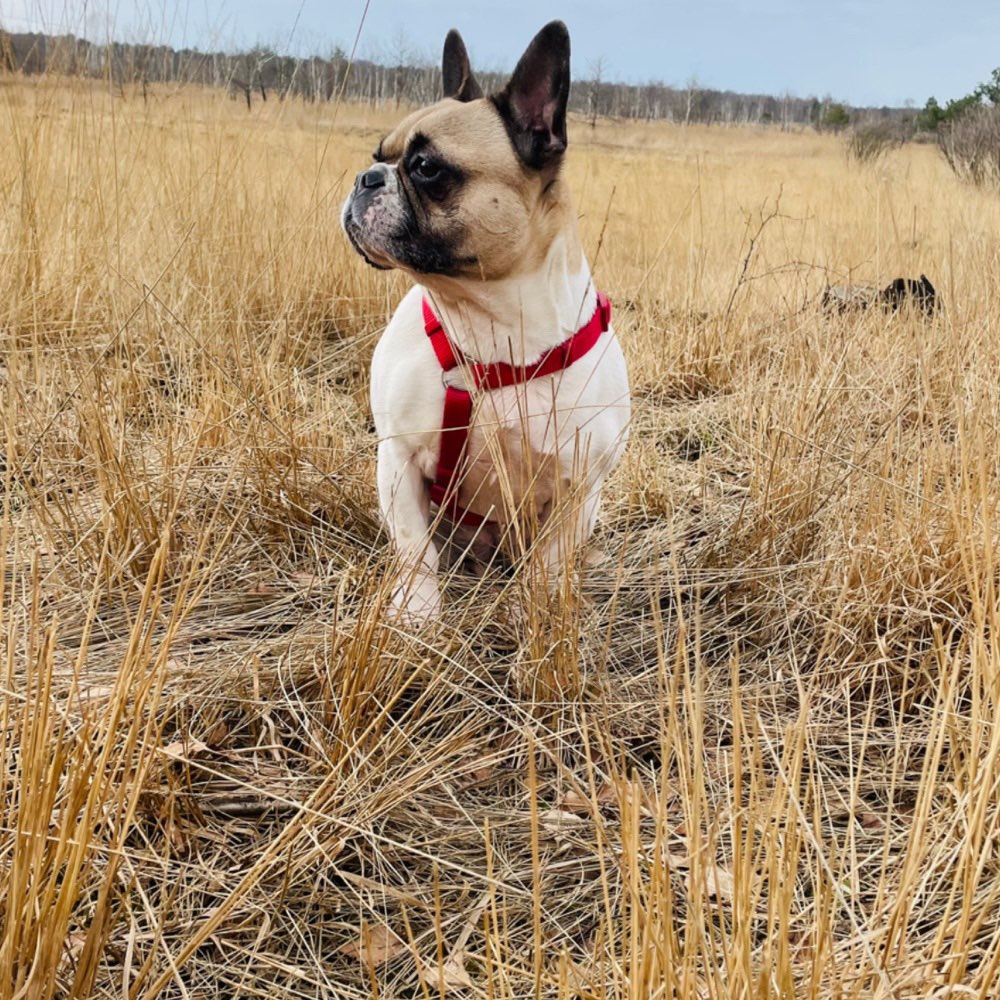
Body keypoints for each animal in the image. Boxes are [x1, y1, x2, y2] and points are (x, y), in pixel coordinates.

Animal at [340, 19, 628, 620]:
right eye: (379, 153)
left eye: (426, 168)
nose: (365, 177)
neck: (490, 322)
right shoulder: (398, 458)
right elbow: (415, 550)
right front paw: (418, 614)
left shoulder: (578, 488)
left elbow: (547, 565)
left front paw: (535, 612)